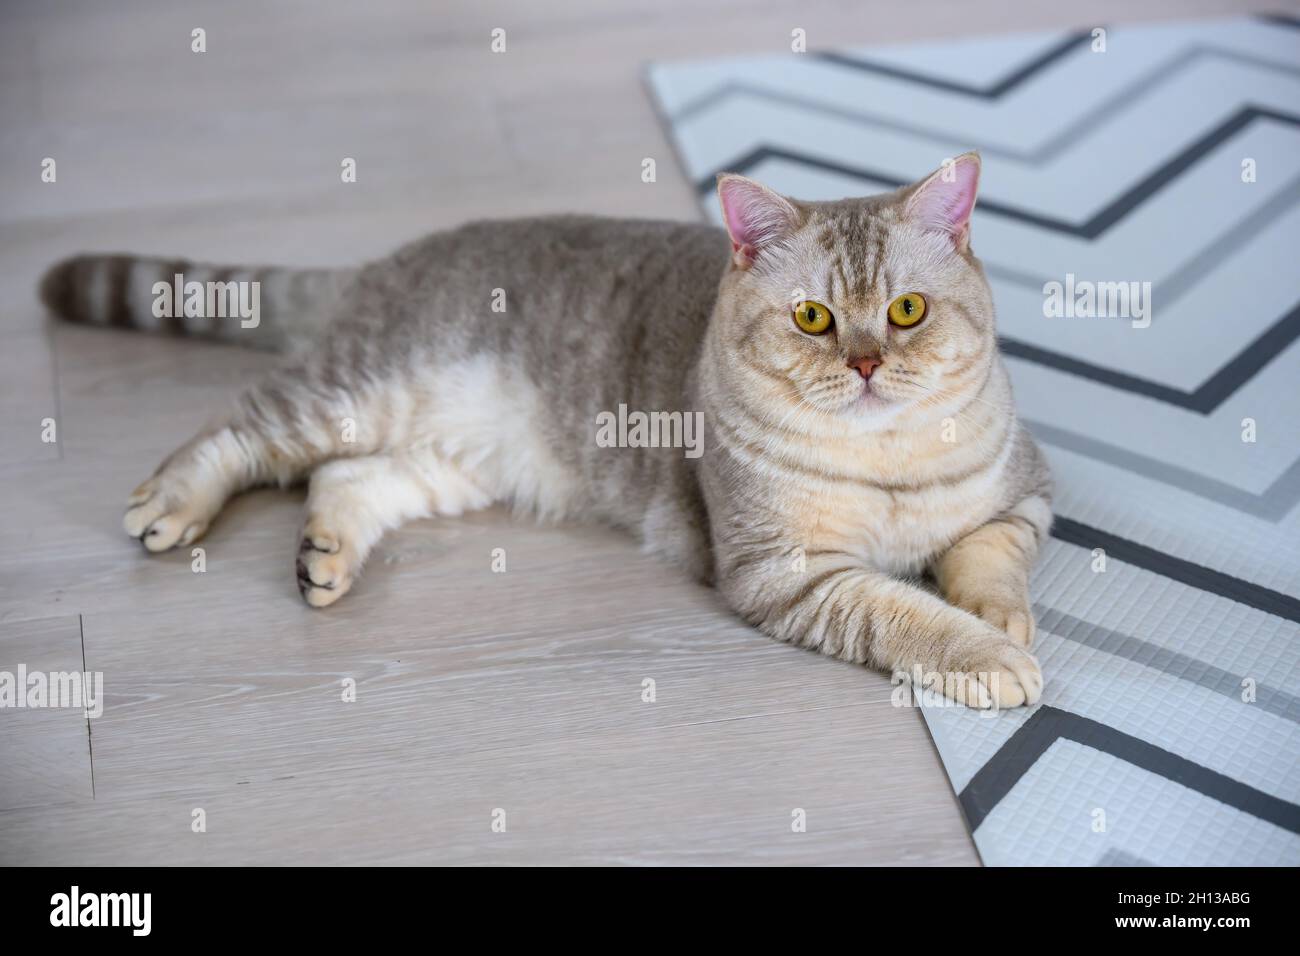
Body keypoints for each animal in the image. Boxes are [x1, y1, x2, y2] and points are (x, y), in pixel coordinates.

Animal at [45, 153, 1050, 712]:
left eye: (907, 311)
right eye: (812, 319)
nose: (868, 364)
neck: (889, 460)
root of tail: (386, 260)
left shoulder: (1029, 492)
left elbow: (987, 552)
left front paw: (1001, 614)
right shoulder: (788, 572)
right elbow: (904, 613)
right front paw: (988, 654)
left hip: (454, 460)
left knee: (344, 480)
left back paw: (323, 556)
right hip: (360, 387)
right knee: (240, 429)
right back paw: (173, 502)